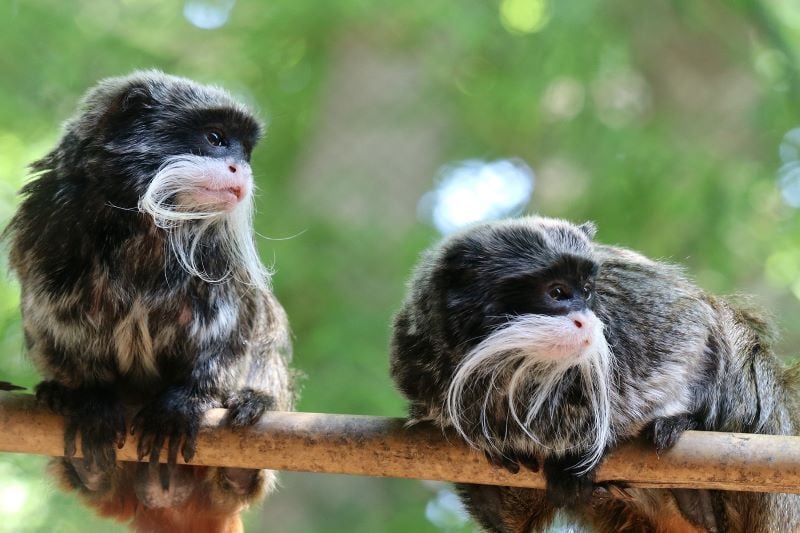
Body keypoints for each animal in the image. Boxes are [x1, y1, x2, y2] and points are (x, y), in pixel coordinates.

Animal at [4, 69, 296, 528]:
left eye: (244, 152)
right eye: (216, 138)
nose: (240, 168)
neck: (141, 221)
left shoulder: (220, 254)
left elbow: (240, 325)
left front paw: (188, 399)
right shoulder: (47, 222)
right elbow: (51, 318)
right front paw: (90, 397)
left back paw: (244, 443)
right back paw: (82, 453)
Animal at [392, 216, 800, 532]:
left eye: (587, 291)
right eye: (558, 292)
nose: (585, 319)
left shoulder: (628, 305)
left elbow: (689, 324)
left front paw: (601, 445)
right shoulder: (418, 361)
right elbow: (510, 520)